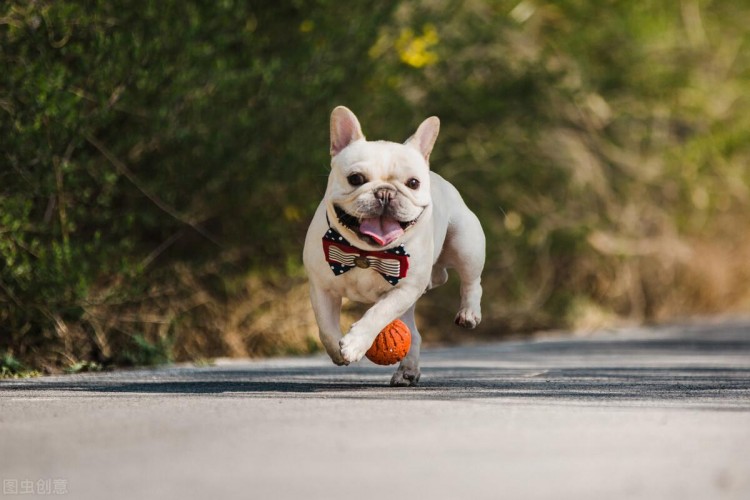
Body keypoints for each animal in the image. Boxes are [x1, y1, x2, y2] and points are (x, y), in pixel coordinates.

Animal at [306, 106, 488, 386]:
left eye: (413, 183)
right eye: (355, 178)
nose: (385, 193)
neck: (365, 253)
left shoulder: (404, 289)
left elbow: (378, 314)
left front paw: (355, 343)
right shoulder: (321, 288)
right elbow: (325, 327)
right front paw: (338, 350)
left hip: (466, 244)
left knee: (471, 282)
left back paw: (469, 313)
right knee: (414, 334)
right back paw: (407, 371)